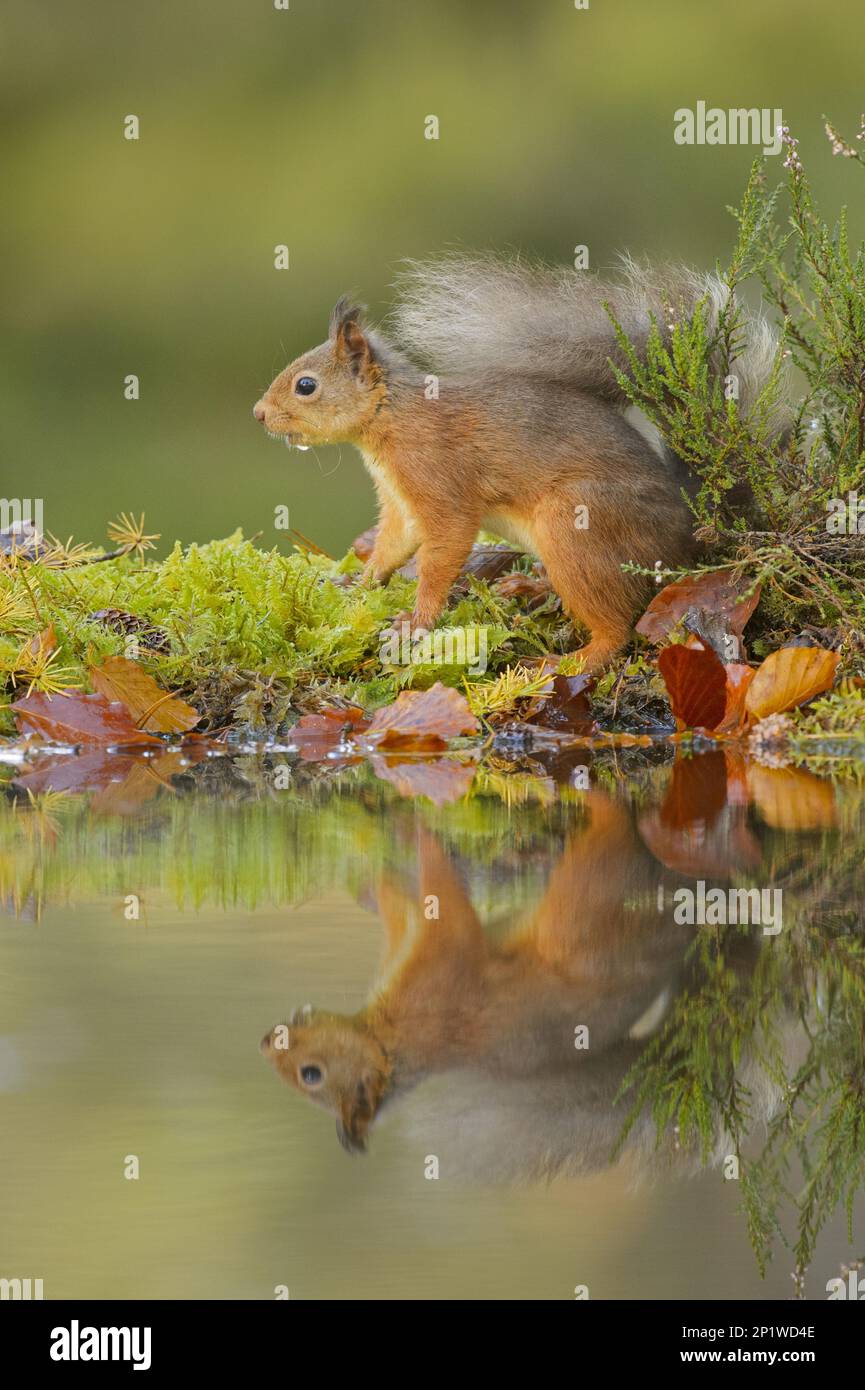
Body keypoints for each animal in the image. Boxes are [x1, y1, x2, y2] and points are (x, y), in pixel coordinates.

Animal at [253, 262, 778, 675]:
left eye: (305, 385)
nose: (259, 414)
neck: (392, 418)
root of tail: (689, 530)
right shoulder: (401, 503)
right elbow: (391, 548)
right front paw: (357, 587)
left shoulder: (437, 480)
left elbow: (443, 549)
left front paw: (415, 622)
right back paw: (529, 583)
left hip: (576, 525)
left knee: (616, 630)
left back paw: (569, 660)